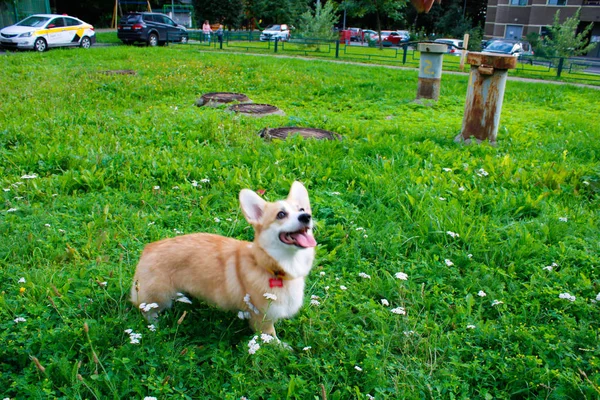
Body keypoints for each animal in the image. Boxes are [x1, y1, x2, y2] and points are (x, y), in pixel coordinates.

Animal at [132, 181, 318, 338]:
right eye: (281, 214)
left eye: (302, 210)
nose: (306, 217)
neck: (273, 267)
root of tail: (148, 249)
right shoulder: (261, 318)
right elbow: (270, 337)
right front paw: (281, 348)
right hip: (159, 297)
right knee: (146, 309)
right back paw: (155, 325)